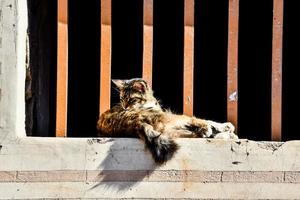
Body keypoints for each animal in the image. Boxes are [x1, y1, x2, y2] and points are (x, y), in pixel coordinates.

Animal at [97, 77, 238, 163]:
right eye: (122, 100)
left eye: (131, 99)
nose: (125, 107)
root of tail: (133, 124)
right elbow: (203, 120)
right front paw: (223, 127)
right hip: (171, 118)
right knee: (195, 125)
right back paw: (220, 132)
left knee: (184, 133)